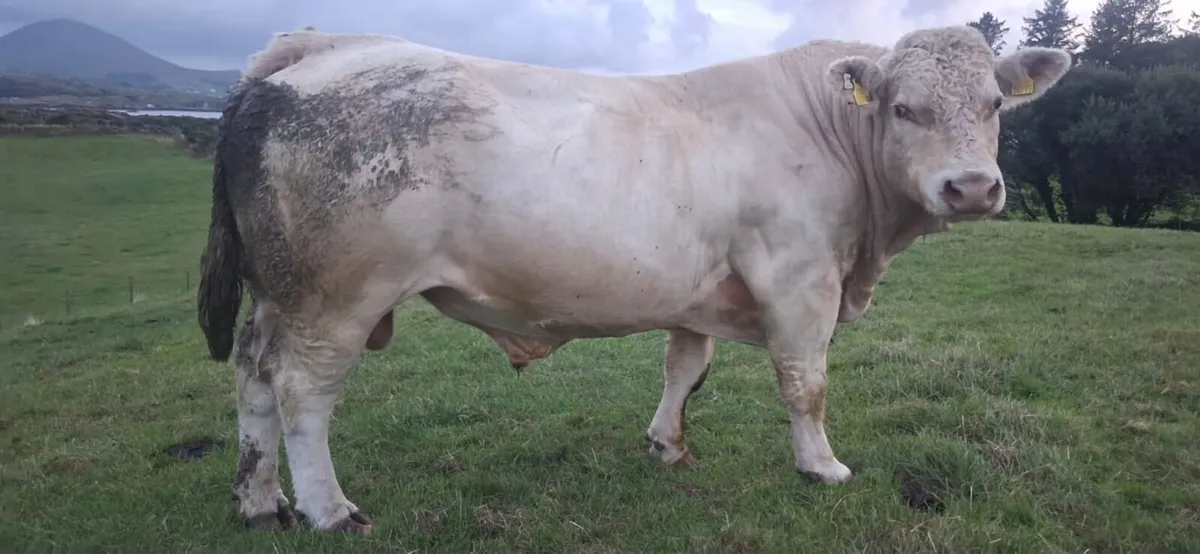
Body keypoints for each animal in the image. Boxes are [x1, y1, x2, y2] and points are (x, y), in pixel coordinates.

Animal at [197, 24, 1072, 534]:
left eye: (995, 103)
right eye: (904, 108)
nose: (972, 188)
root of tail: (318, 47)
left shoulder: (699, 290)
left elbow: (686, 368)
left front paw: (668, 445)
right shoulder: (798, 281)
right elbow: (806, 384)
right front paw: (821, 466)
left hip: (279, 293)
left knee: (252, 375)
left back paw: (259, 499)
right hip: (335, 298)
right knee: (302, 391)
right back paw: (328, 509)